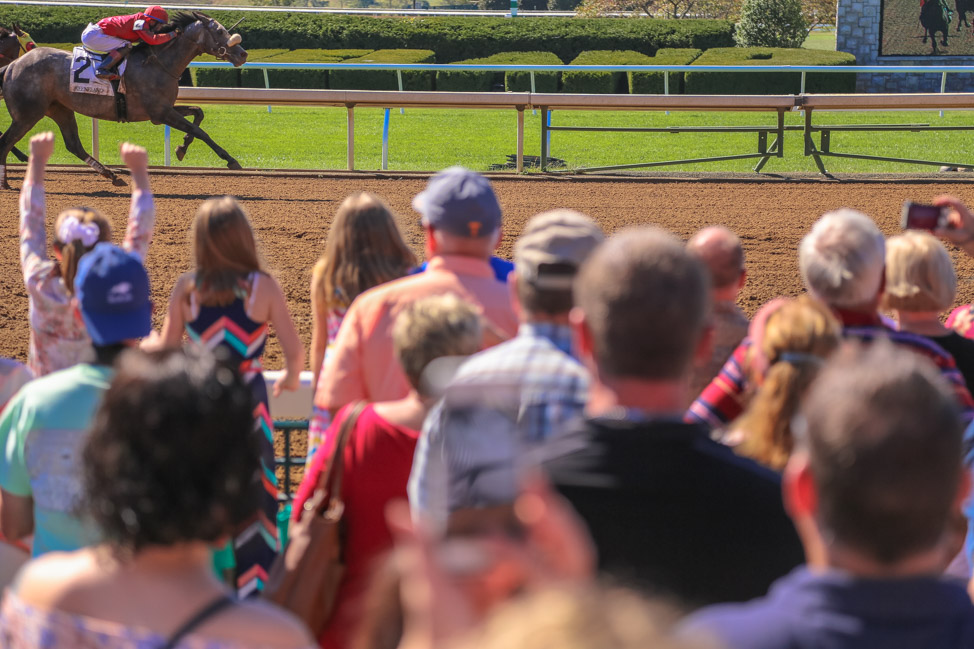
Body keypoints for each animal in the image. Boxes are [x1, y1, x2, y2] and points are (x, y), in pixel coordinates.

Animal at [0, 11, 248, 189]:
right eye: (220, 31)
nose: (243, 54)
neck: (159, 63)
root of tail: (12, 65)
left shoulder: (161, 110)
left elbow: (198, 112)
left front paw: (182, 147)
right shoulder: (161, 112)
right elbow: (200, 131)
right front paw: (230, 160)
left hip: (59, 108)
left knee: (73, 144)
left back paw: (111, 175)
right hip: (28, 114)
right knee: (5, 141)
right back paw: (5, 182)